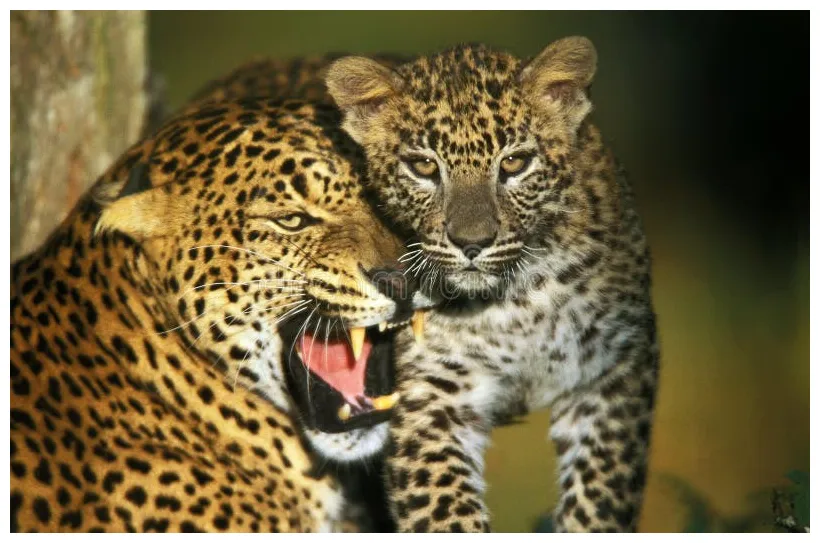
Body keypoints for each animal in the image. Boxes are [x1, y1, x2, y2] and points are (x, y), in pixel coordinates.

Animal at [325, 37, 660, 532]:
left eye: (515, 163)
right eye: (424, 167)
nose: (472, 242)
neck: (518, 301)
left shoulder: (616, 365)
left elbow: (600, 492)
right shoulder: (431, 391)